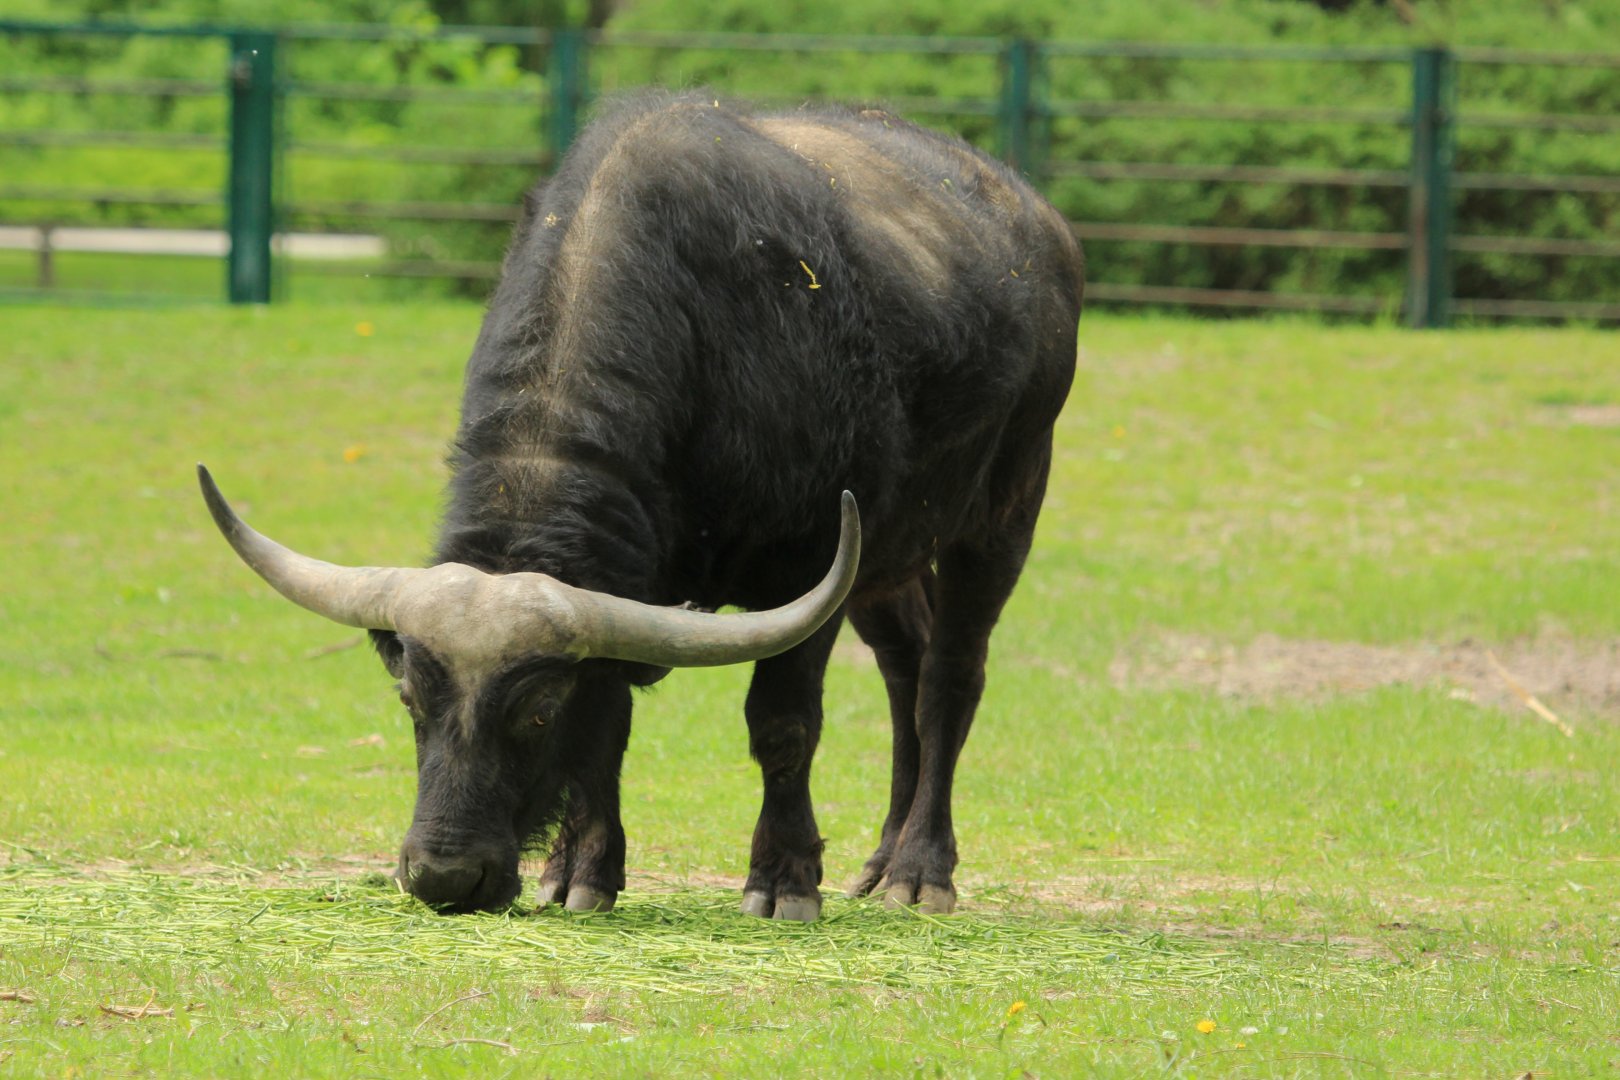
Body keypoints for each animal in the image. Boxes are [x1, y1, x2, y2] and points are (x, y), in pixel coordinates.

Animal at [201, 91, 1084, 919]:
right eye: (411, 698)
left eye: (536, 711)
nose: (443, 873)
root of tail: (1041, 225)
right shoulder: (637, 590)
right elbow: (609, 729)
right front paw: (580, 874)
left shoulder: (807, 566)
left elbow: (783, 724)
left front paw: (783, 880)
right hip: (889, 555)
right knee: (907, 665)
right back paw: (880, 860)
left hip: (1007, 506)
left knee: (950, 675)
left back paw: (919, 870)